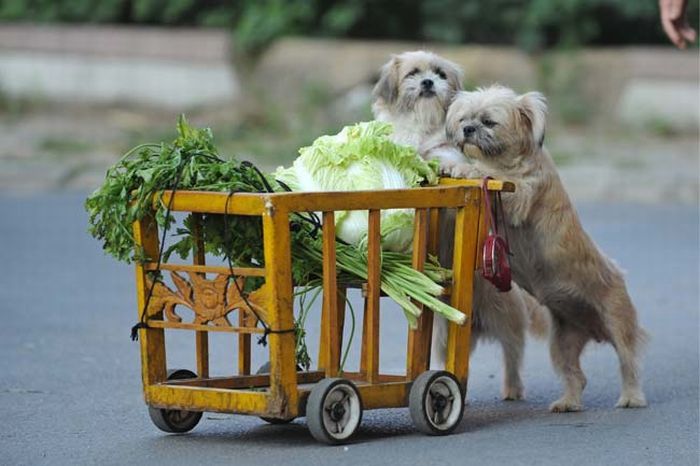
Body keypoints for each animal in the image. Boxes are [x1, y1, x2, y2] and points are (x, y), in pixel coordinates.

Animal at [372, 52, 548, 400]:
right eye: (414, 73)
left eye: (440, 74)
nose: (429, 82)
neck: (422, 126)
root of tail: (477, 322)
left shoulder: (445, 151)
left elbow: (445, 159)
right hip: (443, 337)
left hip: (507, 320)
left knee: (513, 354)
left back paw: (512, 389)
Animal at [446, 86, 648, 412]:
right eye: (465, 118)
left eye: (488, 122)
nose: (467, 129)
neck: (505, 162)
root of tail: (596, 331)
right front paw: (450, 164)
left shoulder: (517, 195)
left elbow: (487, 174)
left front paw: (466, 168)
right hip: (562, 344)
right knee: (576, 376)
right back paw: (568, 402)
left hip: (618, 323)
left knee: (628, 363)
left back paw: (631, 397)